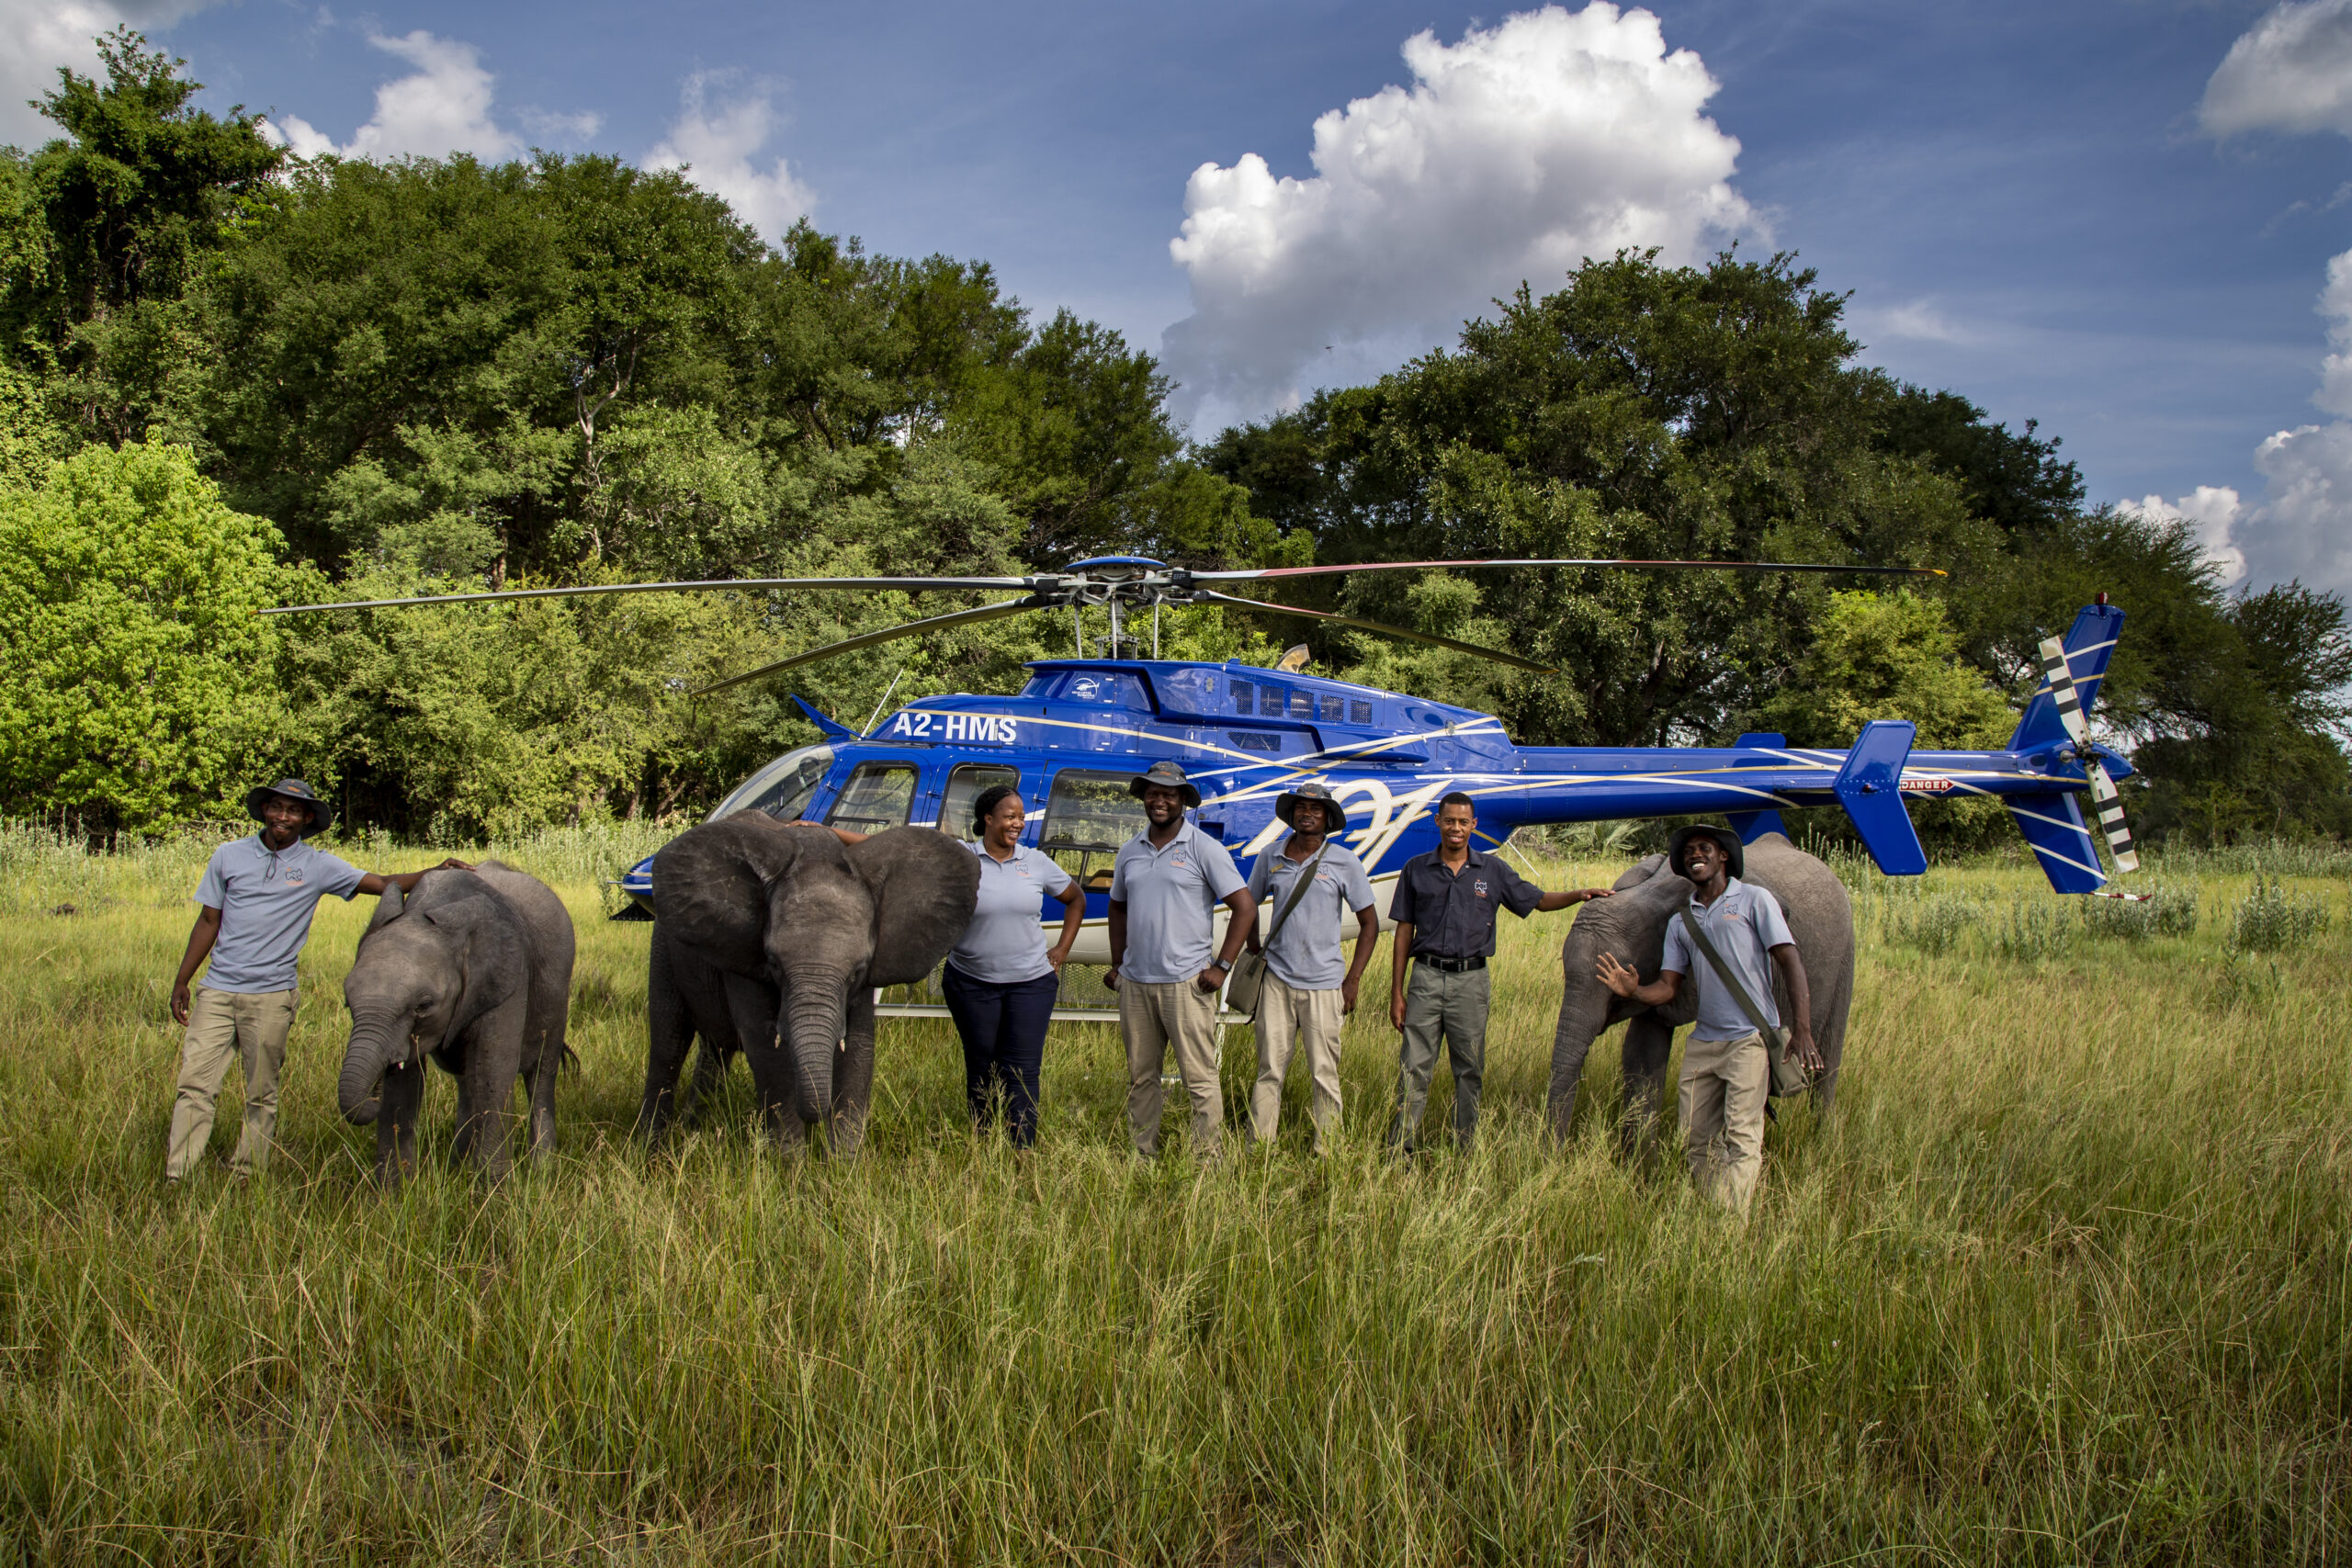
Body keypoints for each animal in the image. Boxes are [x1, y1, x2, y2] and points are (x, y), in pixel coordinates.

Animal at [338, 864, 576, 1184]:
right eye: (348, 1002)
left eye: (423, 1005)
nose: (373, 1090)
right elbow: (404, 1086)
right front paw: (393, 1192)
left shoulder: (504, 979)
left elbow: (494, 1070)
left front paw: (492, 1192)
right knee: (467, 1078)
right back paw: (459, 1166)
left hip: (556, 989)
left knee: (540, 1073)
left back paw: (542, 1172)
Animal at [639, 818, 978, 1161]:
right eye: (774, 964)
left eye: (857, 970)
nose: (815, 1118)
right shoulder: (746, 953)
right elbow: (767, 1051)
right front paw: (790, 1166)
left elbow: (858, 1049)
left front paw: (844, 1165)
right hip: (663, 947)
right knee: (668, 1043)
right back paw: (652, 1151)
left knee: (713, 1049)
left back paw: (693, 1129)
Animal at [1543, 827, 1853, 1146]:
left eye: (1618, 976)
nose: (1557, 1153)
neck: (1652, 893)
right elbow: (1642, 1052)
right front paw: (1642, 1158)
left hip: (1845, 953)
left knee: (1829, 1057)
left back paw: (1823, 1139)